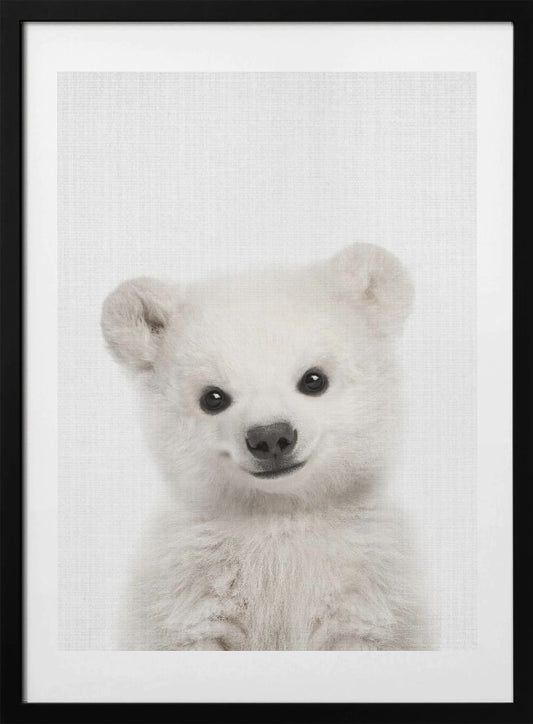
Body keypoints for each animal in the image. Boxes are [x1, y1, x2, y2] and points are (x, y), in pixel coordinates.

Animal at [101, 243, 426, 650]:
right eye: (213, 397)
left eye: (314, 379)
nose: (271, 436)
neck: (279, 515)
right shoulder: (189, 590)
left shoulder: (367, 588)